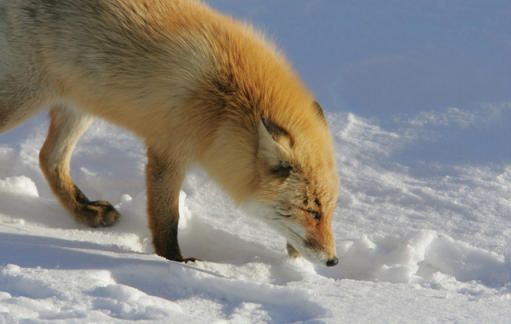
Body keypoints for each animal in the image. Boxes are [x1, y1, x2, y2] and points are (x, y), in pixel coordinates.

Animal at [3, 0, 340, 268]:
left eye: (329, 212)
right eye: (312, 211)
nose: (333, 261)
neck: (226, 100)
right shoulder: (168, 151)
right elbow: (168, 218)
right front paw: (175, 262)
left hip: (79, 105)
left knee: (48, 158)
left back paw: (84, 210)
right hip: (26, 98)